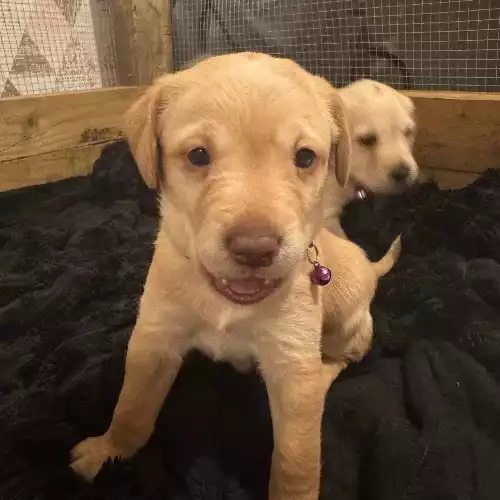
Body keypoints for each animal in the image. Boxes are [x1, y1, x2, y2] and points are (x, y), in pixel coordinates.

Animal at [70, 51, 352, 500]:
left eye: (306, 158)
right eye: (198, 155)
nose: (255, 248)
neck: (227, 304)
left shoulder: (292, 362)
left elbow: (296, 458)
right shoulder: (155, 337)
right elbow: (132, 405)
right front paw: (109, 450)